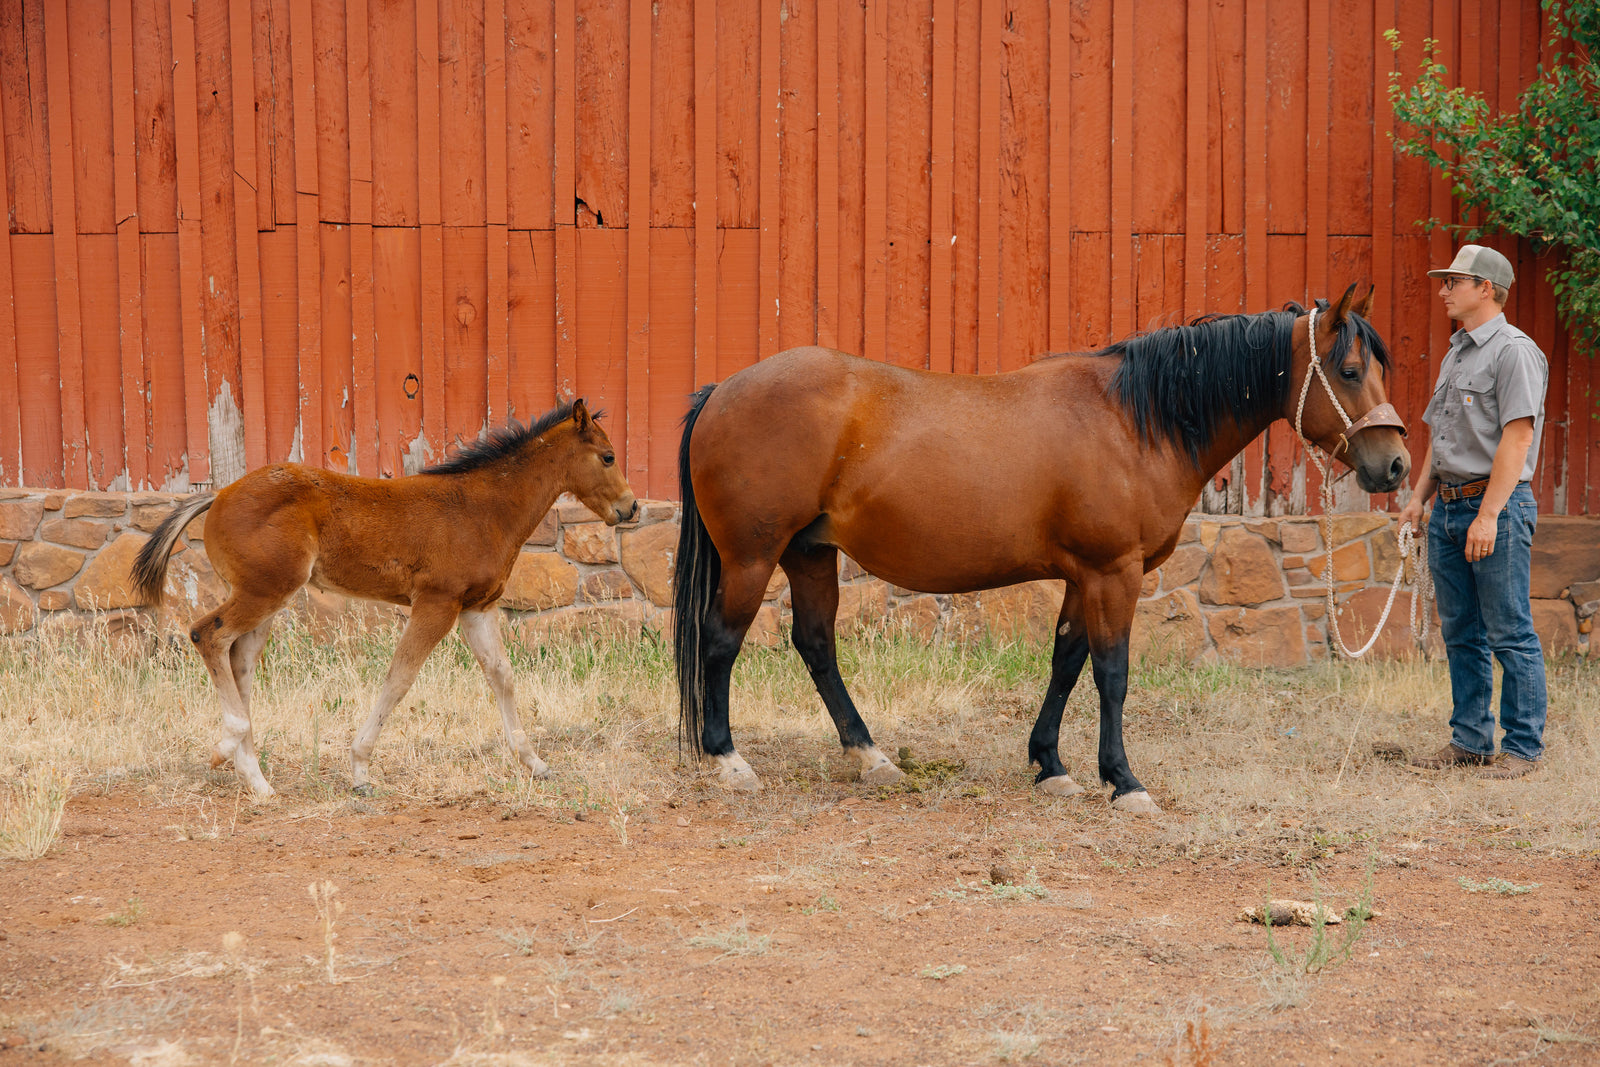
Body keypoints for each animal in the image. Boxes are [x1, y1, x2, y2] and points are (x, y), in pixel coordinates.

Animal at [132, 400, 638, 798]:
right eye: (608, 456)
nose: (631, 507)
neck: (482, 509)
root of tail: (218, 495)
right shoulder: (436, 603)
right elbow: (400, 678)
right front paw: (359, 769)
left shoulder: (476, 608)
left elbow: (502, 676)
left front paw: (534, 762)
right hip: (265, 591)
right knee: (207, 635)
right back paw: (227, 748)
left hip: (265, 599)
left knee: (240, 662)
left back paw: (255, 778)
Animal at [672, 285, 1409, 814]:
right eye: (1348, 370)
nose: (1396, 465)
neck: (1134, 420)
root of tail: (720, 392)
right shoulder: (1115, 572)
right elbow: (1112, 672)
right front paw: (1124, 780)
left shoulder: (1085, 576)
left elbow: (1066, 662)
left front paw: (1050, 765)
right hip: (753, 557)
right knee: (720, 641)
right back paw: (727, 758)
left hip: (809, 553)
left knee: (817, 644)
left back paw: (869, 755)